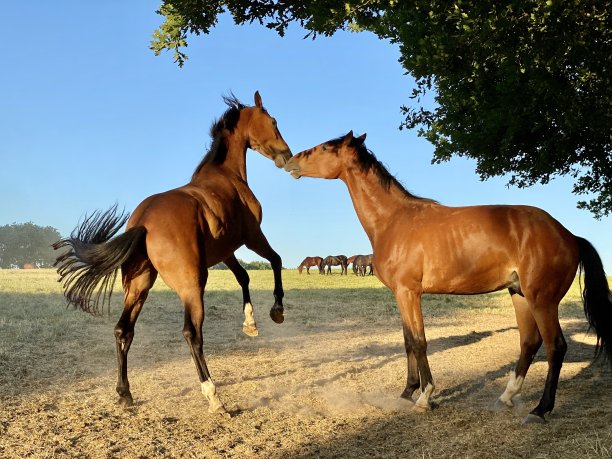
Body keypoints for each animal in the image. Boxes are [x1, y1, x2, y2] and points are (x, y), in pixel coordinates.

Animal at [53, 91, 292, 416]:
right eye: (274, 121)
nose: (286, 154)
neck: (226, 177)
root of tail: (143, 221)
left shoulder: (224, 250)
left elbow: (244, 277)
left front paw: (250, 325)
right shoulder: (251, 237)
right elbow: (276, 261)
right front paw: (276, 311)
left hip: (139, 285)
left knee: (123, 330)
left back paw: (125, 393)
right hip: (192, 284)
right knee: (192, 333)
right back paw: (213, 396)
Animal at [286, 129, 612, 424]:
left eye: (326, 147)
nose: (290, 161)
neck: (394, 220)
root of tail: (568, 235)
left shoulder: (409, 293)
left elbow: (419, 341)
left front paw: (425, 396)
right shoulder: (400, 295)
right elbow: (407, 340)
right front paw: (407, 392)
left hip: (542, 300)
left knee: (556, 346)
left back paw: (539, 410)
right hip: (519, 294)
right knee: (529, 343)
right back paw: (507, 396)